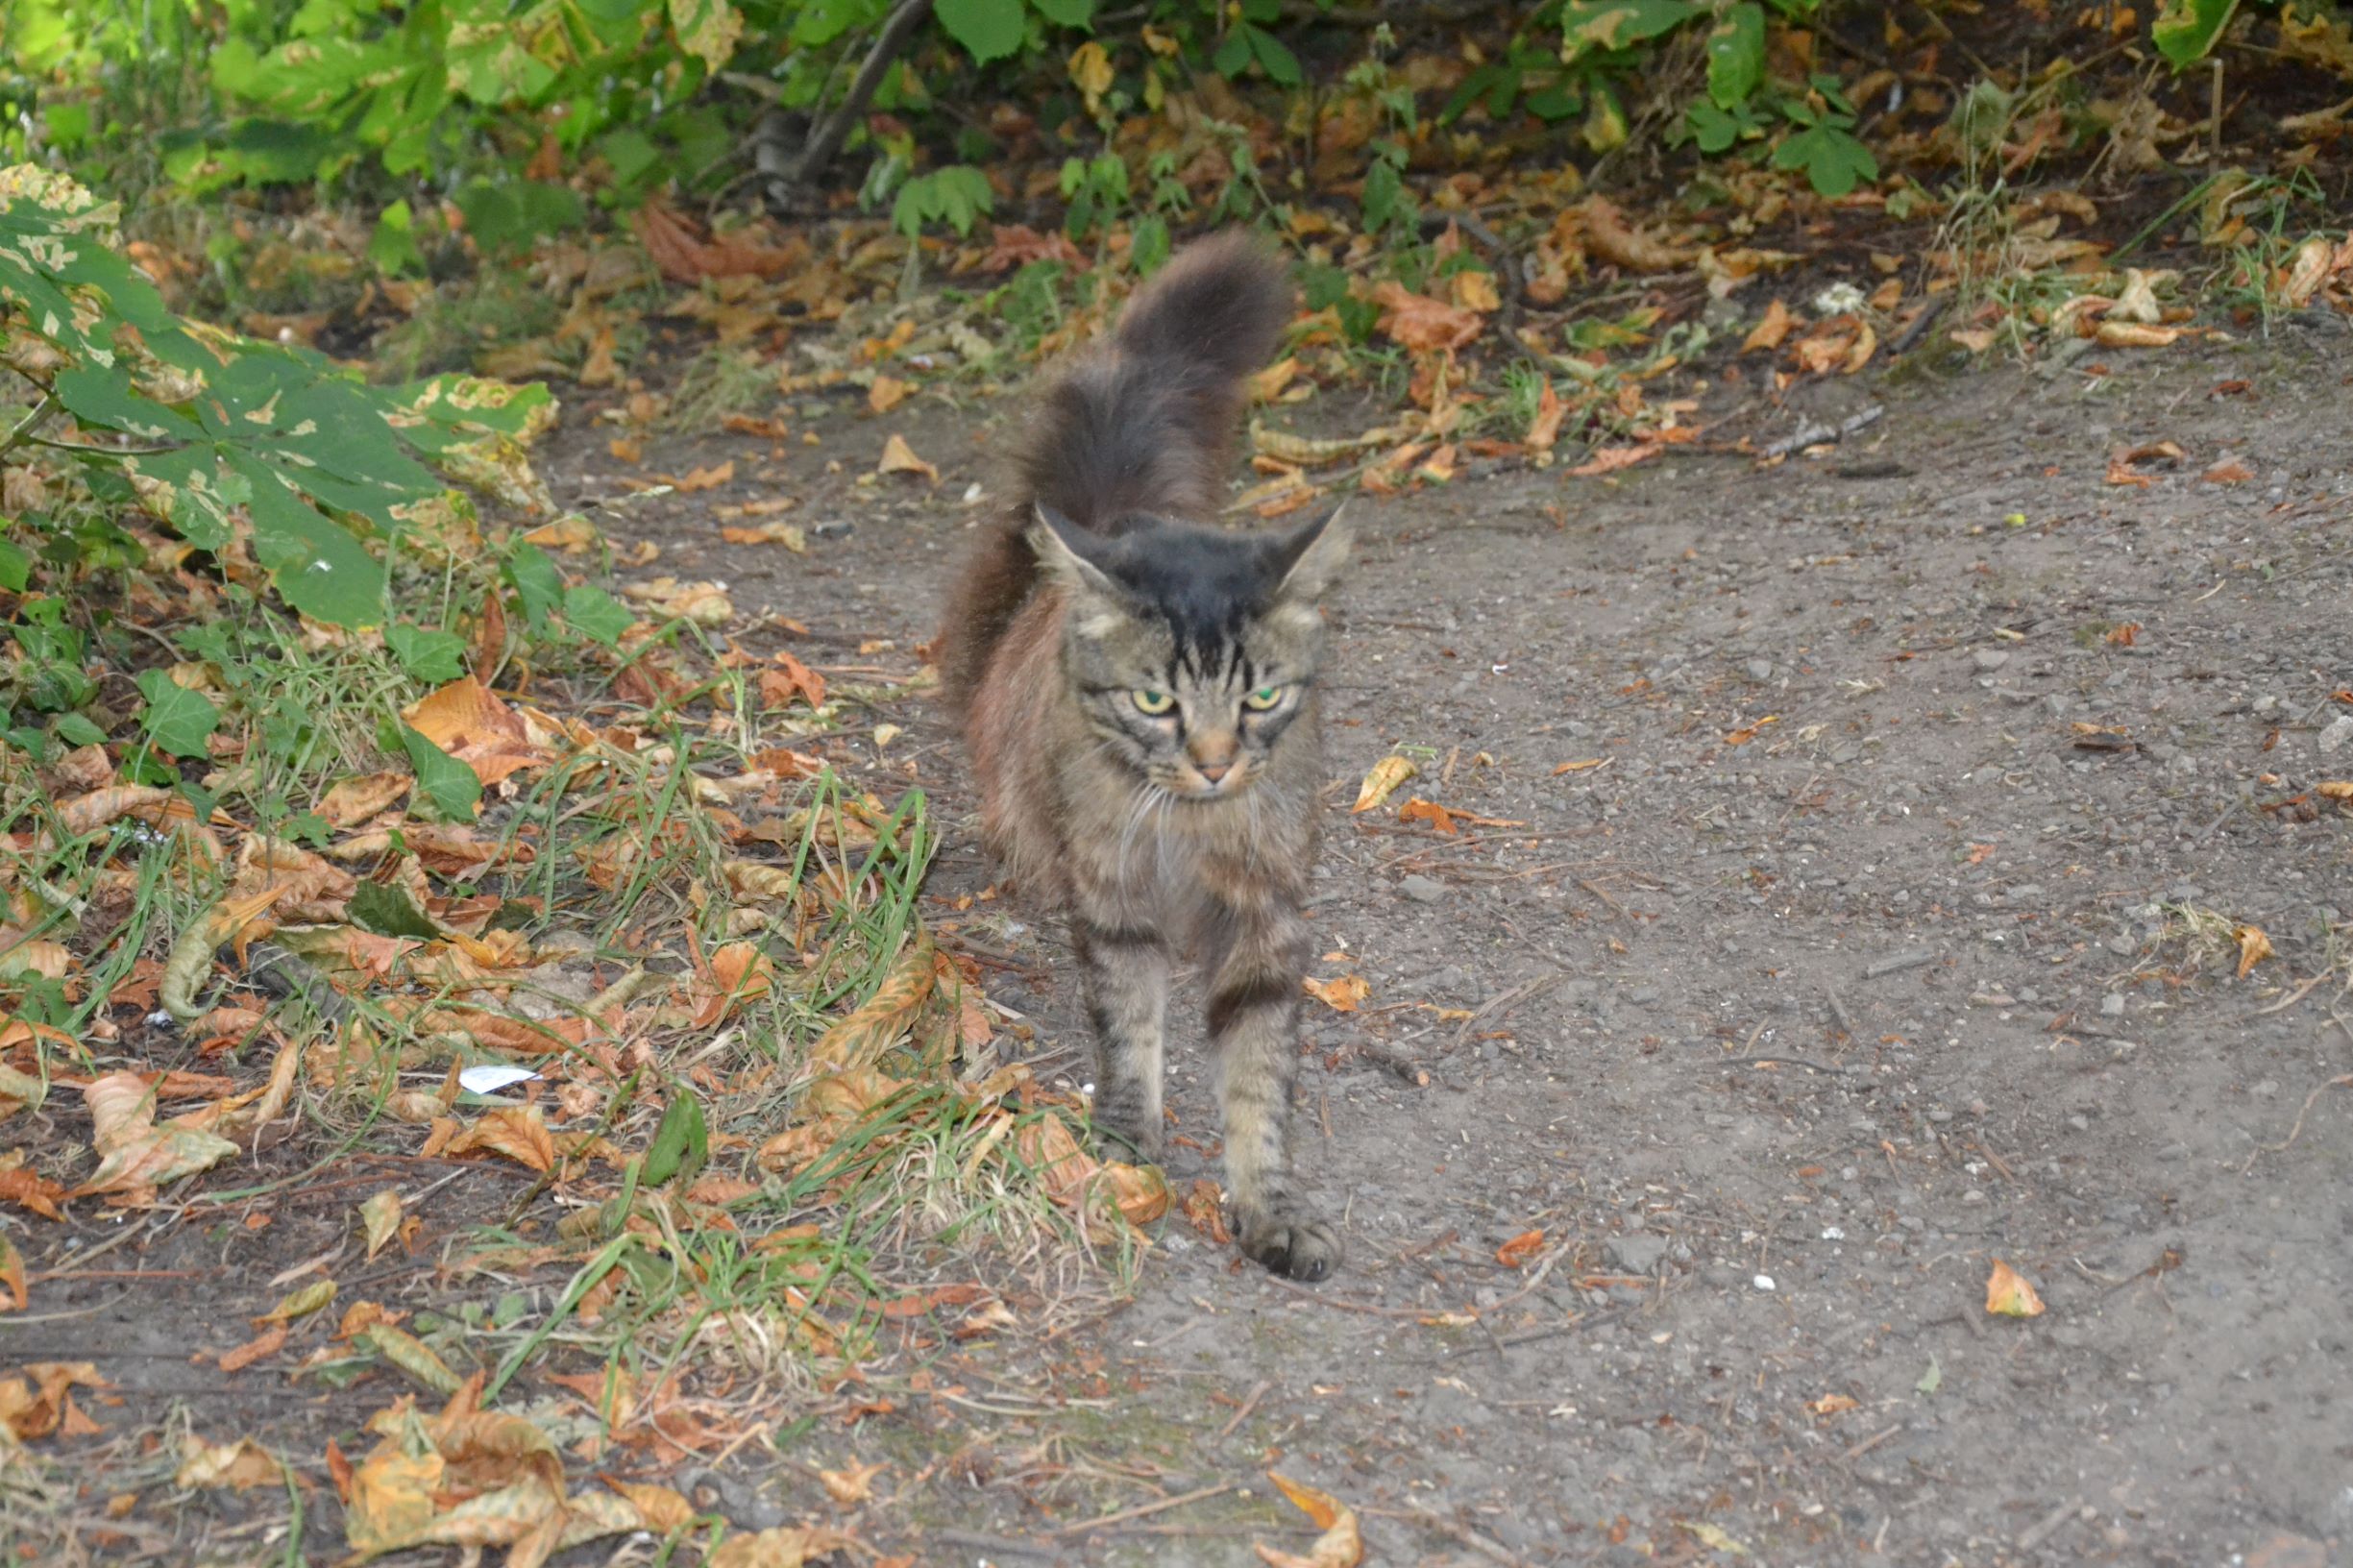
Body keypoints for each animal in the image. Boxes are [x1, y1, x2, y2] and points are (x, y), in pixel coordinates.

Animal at [931, 235, 1355, 1281]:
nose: (1211, 764)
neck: (1188, 831)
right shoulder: (1114, 902)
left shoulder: (1267, 912)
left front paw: (1269, 1204)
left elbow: (1258, 1072)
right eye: (1156, 702)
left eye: (1259, 698)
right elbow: (1130, 1029)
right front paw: (1127, 1141)